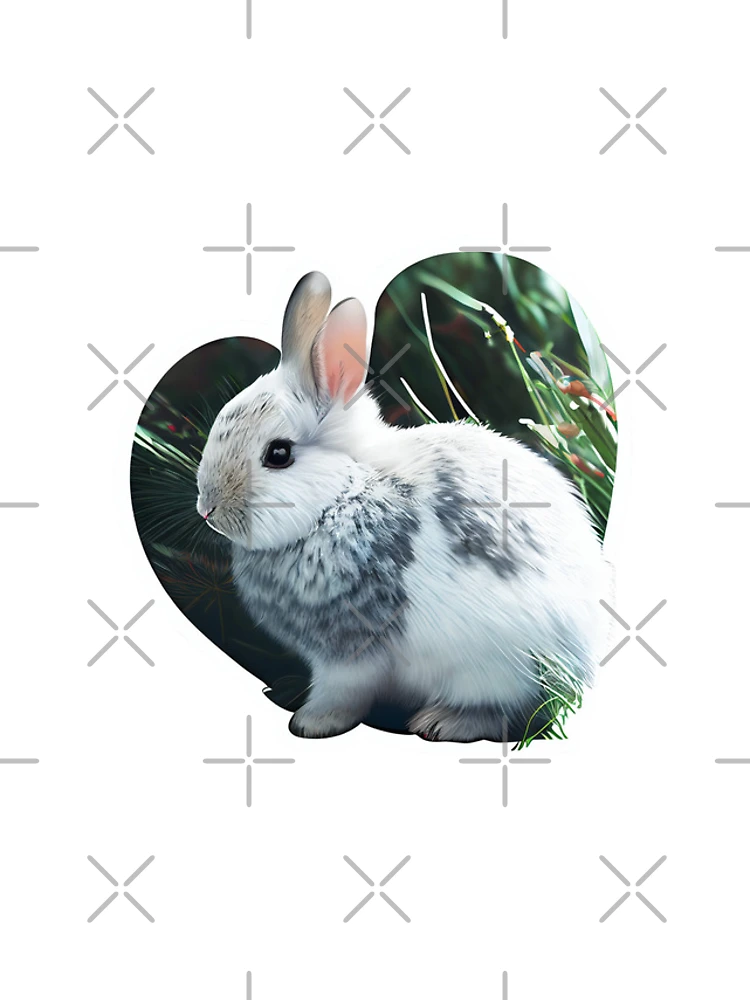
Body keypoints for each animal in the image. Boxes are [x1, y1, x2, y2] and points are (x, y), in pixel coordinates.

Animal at [196, 271, 611, 742]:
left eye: (278, 454)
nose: (208, 510)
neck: (342, 497)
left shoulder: (350, 651)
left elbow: (342, 692)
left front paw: (312, 723)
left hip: (494, 665)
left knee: (504, 710)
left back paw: (443, 722)